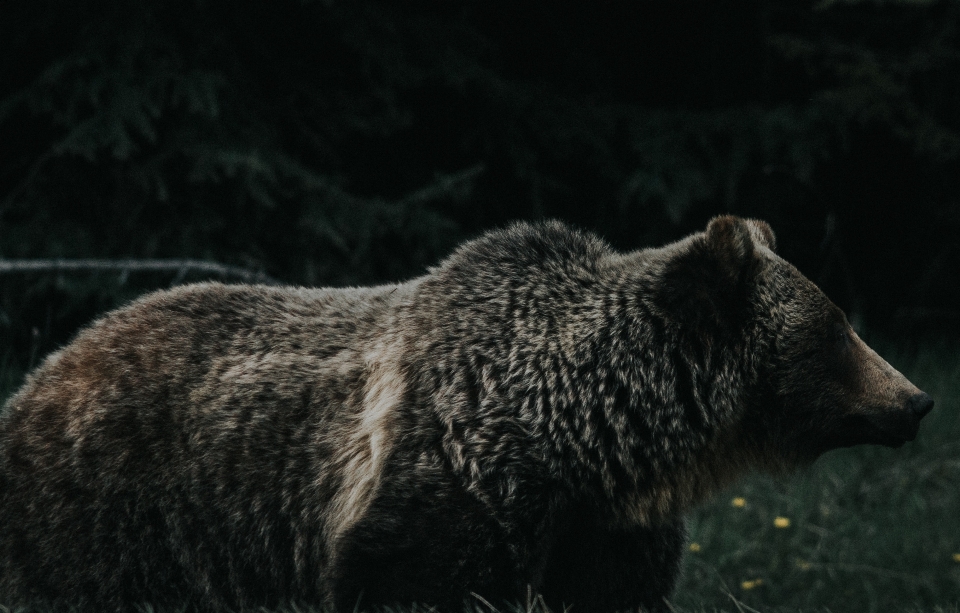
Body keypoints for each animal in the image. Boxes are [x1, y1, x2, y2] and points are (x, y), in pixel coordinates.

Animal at [0, 216, 932, 612]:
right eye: (837, 326)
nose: (917, 400)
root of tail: (46, 367)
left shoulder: (603, 530)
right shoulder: (444, 485)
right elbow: (414, 577)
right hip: (119, 512)